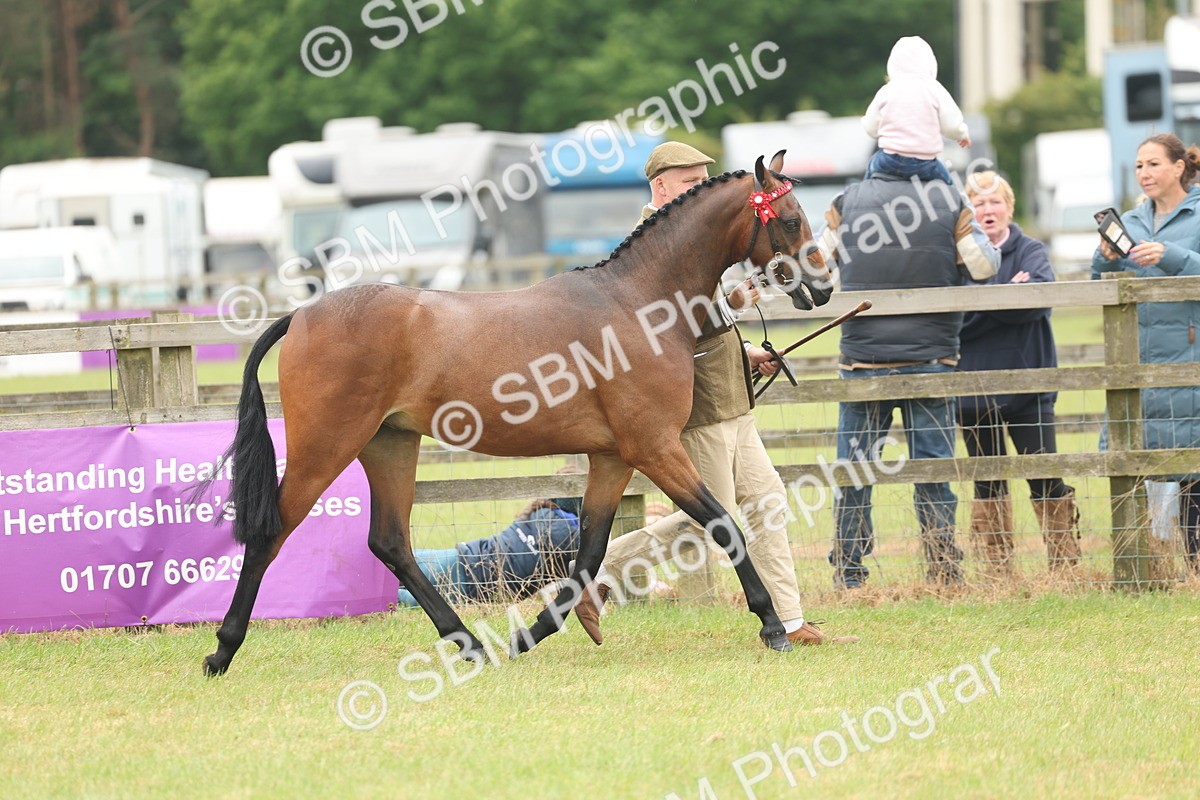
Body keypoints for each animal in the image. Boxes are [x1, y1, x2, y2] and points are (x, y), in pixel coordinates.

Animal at [200, 150, 832, 676]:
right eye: (791, 219)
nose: (824, 287)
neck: (636, 303)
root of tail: (303, 314)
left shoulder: (613, 457)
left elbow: (592, 550)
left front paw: (531, 634)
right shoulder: (655, 447)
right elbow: (724, 524)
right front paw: (773, 626)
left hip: (389, 444)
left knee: (390, 542)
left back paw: (470, 645)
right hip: (328, 444)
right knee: (273, 532)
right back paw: (222, 650)